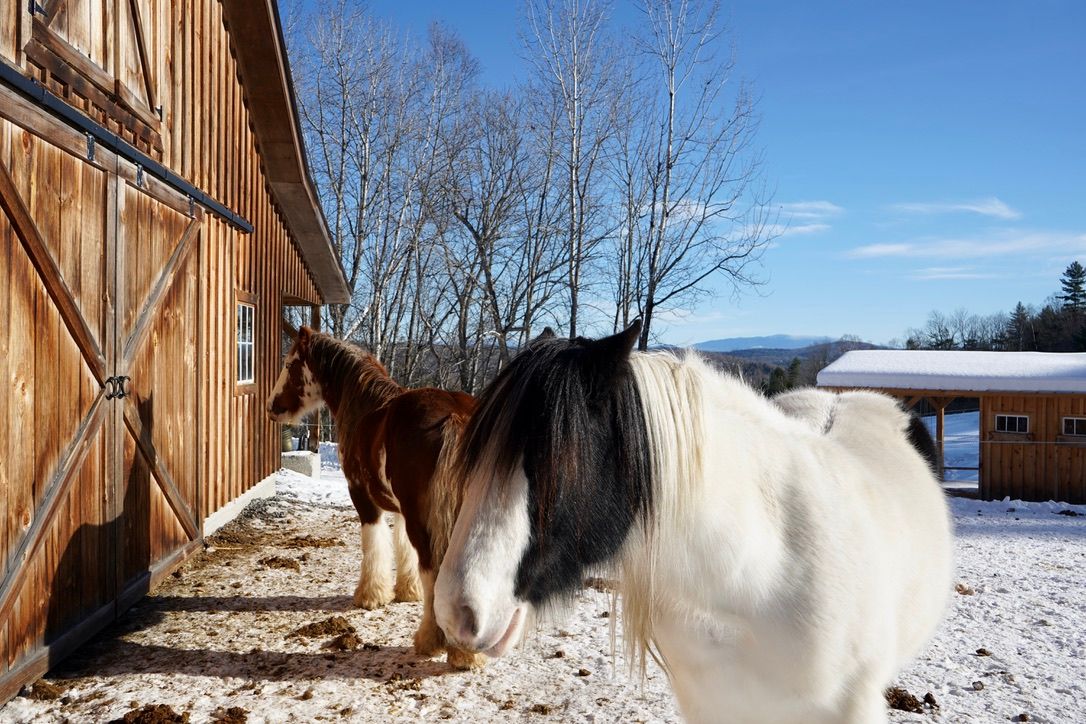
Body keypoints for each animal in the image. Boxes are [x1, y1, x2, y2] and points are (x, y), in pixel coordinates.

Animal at [266, 326, 485, 670]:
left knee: (433, 568)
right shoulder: (400, 509)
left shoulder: (363, 497)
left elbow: (374, 544)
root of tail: (453, 416)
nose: (271, 406)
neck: (366, 405)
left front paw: (371, 595)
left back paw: (433, 642)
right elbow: (402, 547)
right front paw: (406, 591)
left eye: (289, 364)